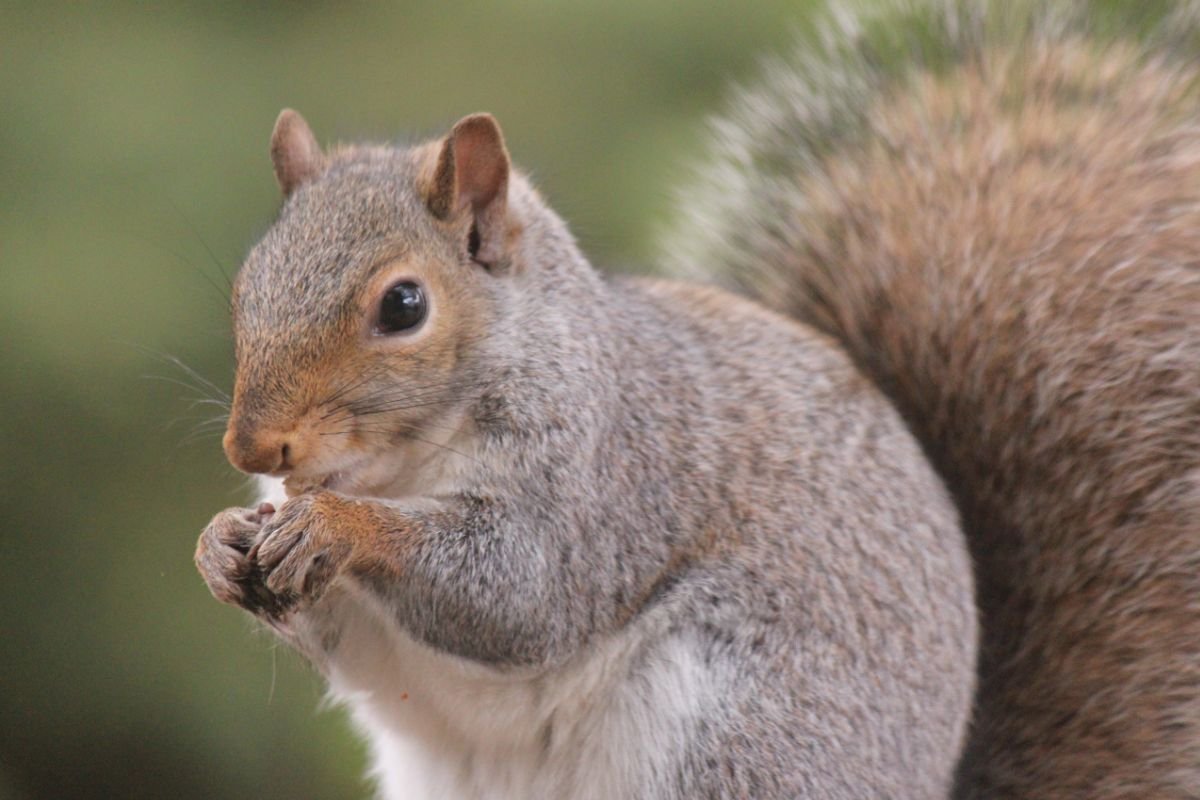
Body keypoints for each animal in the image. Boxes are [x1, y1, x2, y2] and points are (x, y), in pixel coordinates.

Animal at [192, 1, 1200, 800]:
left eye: (403, 306)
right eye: (246, 284)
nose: (252, 450)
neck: (396, 464)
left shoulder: (608, 476)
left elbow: (522, 591)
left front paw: (340, 528)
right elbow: (349, 641)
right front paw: (220, 545)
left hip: (739, 736)